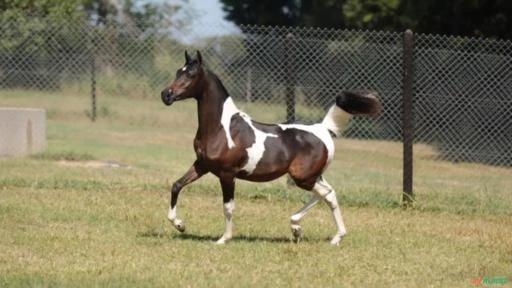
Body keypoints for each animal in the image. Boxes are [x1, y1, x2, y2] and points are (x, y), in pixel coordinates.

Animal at [160, 50, 380, 244]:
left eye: (191, 74)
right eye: (178, 71)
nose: (166, 94)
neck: (221, 128)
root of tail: (323, 128)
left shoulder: (227, 174)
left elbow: (228, 207)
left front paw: (223, 239)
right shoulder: (202, 165)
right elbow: (176, 185)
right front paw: (180, 225)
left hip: (303, 177)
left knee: (326, 193)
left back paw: (304, 229)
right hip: (313, 176)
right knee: (329, 194)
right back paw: (320, 234)